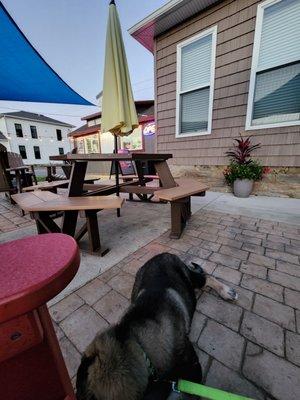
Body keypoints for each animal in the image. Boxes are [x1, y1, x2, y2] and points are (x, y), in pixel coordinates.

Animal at [76, 252, 238, 398]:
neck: (134, 340)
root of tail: (163, 254)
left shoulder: (192, 368)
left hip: (189, 276)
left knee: (206, 278)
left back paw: (226, 291)